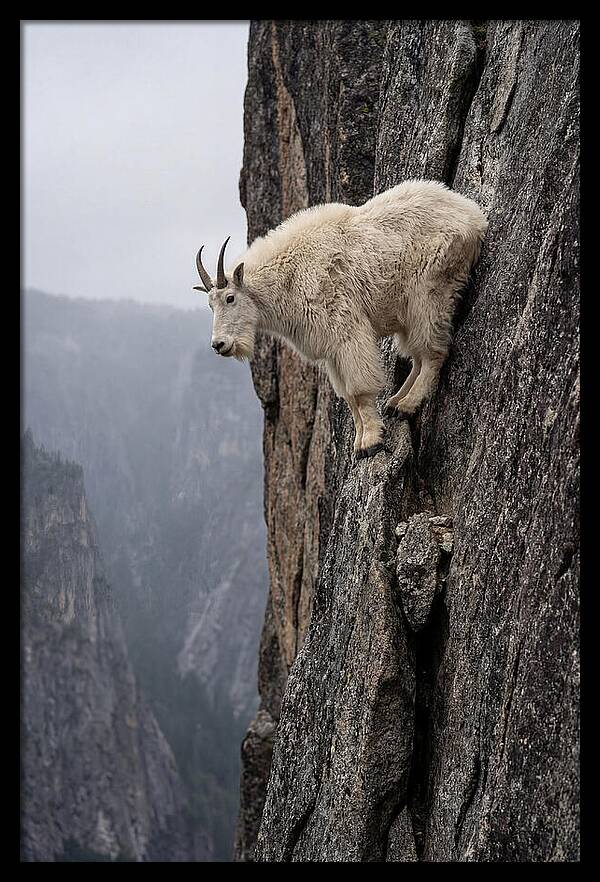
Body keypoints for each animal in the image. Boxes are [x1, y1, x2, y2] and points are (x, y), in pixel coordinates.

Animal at [193, 180, 487, 458]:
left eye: (230, 298)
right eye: (209, 304)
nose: (219, 345)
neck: (288, 277)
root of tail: (474, 215)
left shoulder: (346, 331)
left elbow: (358, 390)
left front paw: (371, 442)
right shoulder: (331, 351)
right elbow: (347, 396)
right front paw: (358, 443)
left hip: (429, 292)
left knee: (433, 352)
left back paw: (407, 405)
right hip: (408, 311)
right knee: (417, 355)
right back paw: (395, 402)